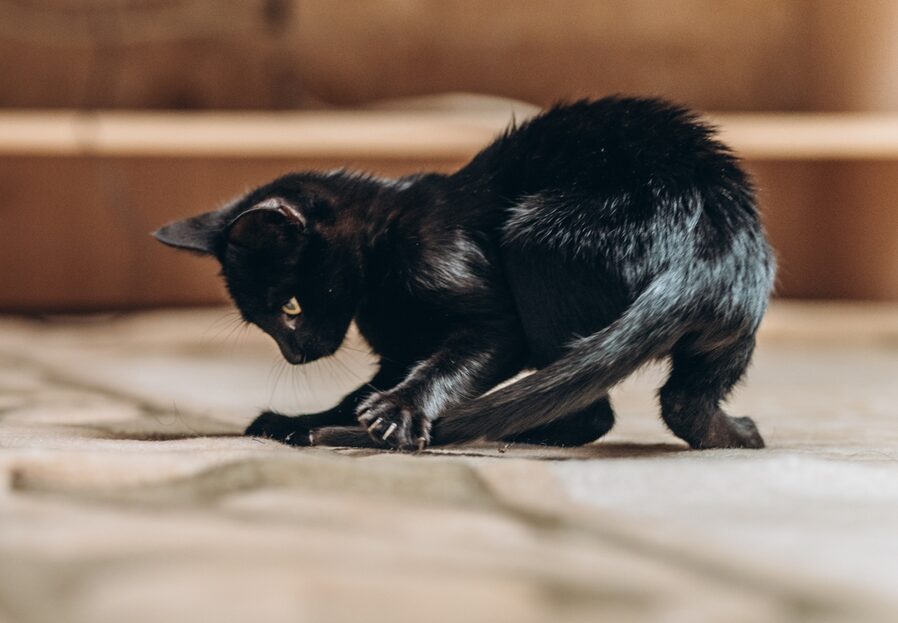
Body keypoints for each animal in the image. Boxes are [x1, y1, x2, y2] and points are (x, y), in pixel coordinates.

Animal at [152, 98, 768, 454]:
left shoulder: (483, 313)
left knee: (588, 408)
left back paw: (512, 430)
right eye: (262, 321)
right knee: (682, 400)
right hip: (728, 338)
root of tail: (712, 236)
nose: (295, 355)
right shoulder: (400, 350)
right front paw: (296, 422)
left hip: (536, 232)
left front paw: (398, 413)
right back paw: (736, 435)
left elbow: (443, 365)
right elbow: (357, 393)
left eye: (290, 308)